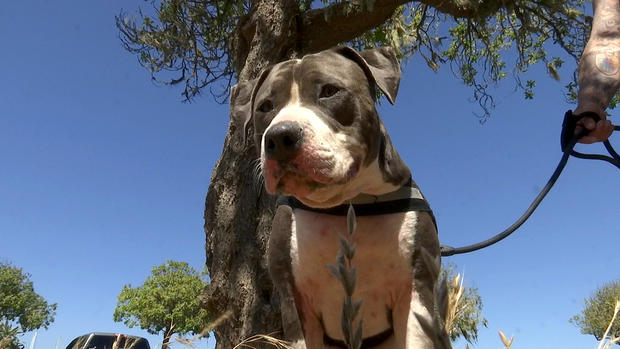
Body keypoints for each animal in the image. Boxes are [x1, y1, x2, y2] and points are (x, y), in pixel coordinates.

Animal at [230, 47, 448, 348]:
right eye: (264, 107)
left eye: (329, 91)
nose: (281, 136)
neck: (349, 204)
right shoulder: (293, 299)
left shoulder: (417, 287)